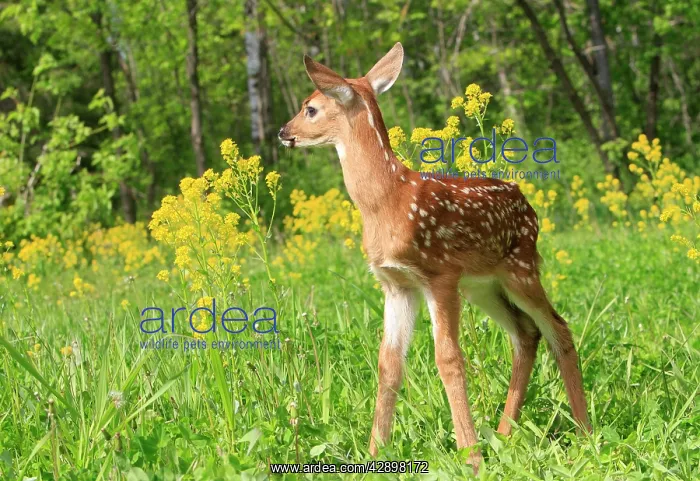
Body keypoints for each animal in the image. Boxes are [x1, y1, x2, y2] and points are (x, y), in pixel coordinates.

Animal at [278, 43, 590, 470]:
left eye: (309, 108)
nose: (283, 132)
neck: (389, 201)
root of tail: (529, 205)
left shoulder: (440, 274)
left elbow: (449, 360)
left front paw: (471, 458)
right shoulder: (396, 284)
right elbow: (389, 364)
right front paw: (375, 453)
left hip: (521, 269)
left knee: (558, 328)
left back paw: (585, 432)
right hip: (483, 286)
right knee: (526, 333)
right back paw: (504, 435)